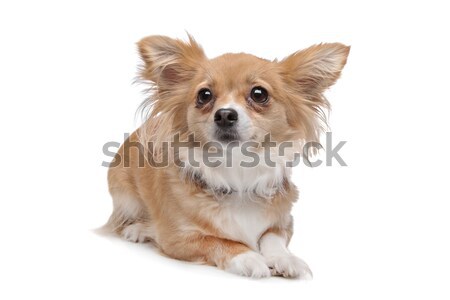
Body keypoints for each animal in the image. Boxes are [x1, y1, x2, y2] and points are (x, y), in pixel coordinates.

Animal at [103, 35, 350, 278]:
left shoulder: (284, 222)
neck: (238, 170)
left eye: (259, 94)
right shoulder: (177, 239)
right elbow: (219, 241)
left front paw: (285, 258)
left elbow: (272, 237)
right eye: (204, 95)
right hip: (126, 196)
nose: (224, 114)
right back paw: (138, 229)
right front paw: (249, 257)